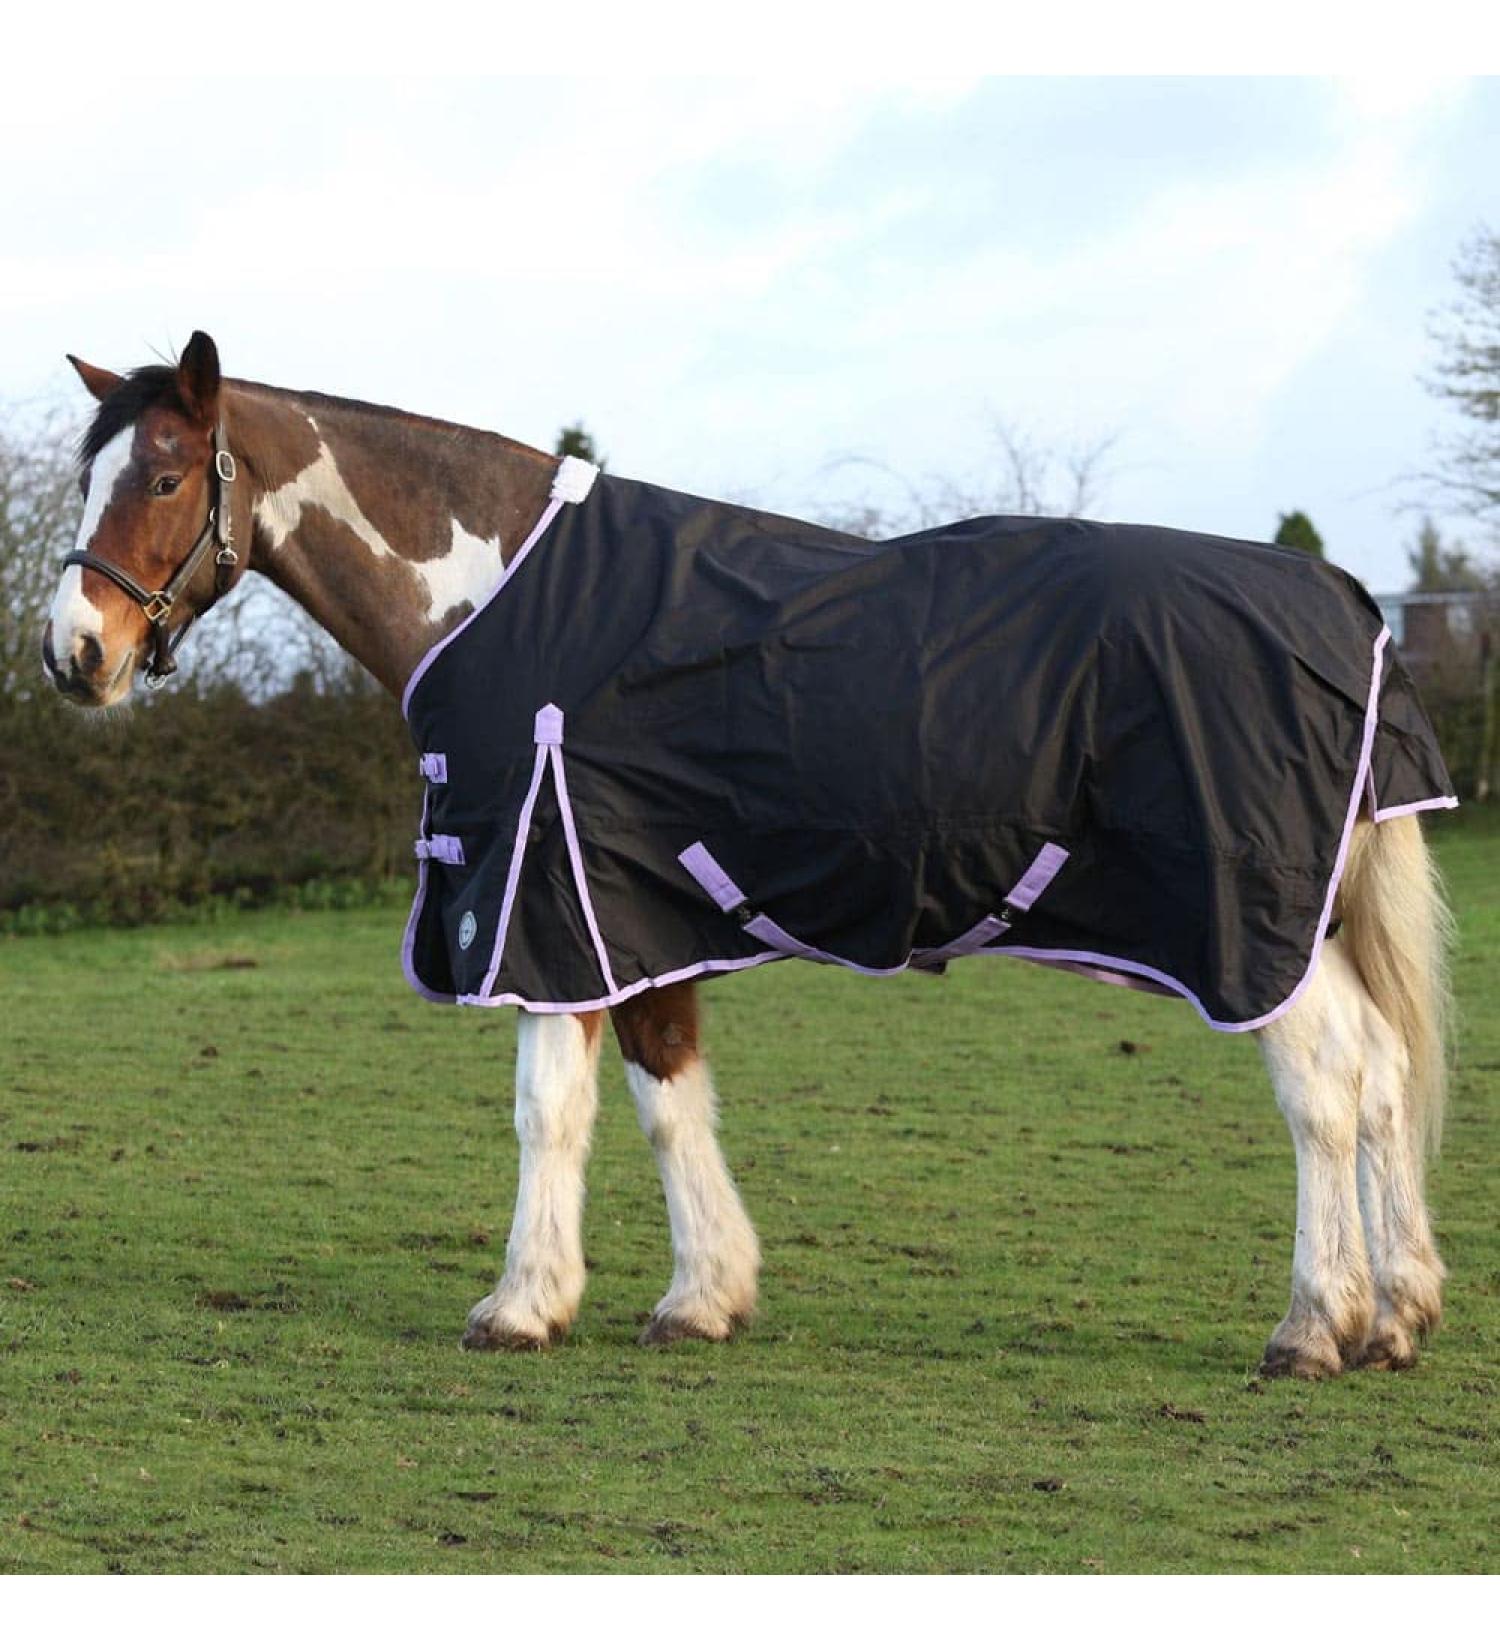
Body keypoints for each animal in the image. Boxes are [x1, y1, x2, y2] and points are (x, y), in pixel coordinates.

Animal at [42, 331, 1455, 1378]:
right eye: (83, 478)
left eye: (163, 479)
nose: (73, 654)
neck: (504, 595)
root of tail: (1345, 605)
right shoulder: (633, 919)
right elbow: (670, 1102)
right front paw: (702, 1298)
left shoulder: (547, 908)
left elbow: (546, 1110)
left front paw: (520, 1306)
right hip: (1307, 924)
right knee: (1385, 1074)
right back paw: (1397, 1315)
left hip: (1245, 927)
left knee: (1325, 1084)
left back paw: (1313, 1325)